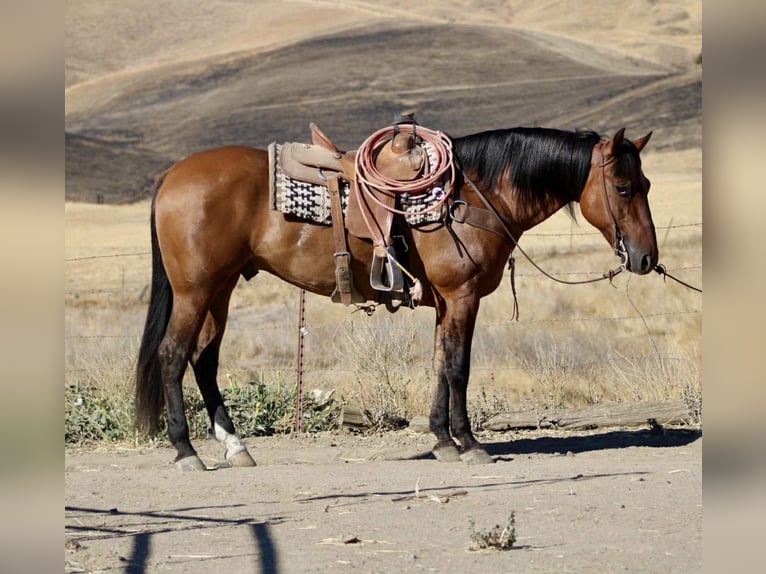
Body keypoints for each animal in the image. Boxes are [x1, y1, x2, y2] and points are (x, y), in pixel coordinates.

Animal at [135, 124, 657, 470]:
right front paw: (470, 443)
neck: (472, 197)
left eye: (646, 184)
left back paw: (236, 447)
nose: (647, 257)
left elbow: (440, 365)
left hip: (220, 289)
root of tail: (172, 176)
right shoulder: (463, 297)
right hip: (194, 290)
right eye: (623, 187)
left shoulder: (445, 303)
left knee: (203, 359)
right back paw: (186, 451)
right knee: (173, 354)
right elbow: (459, 367)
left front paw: (442, 440)